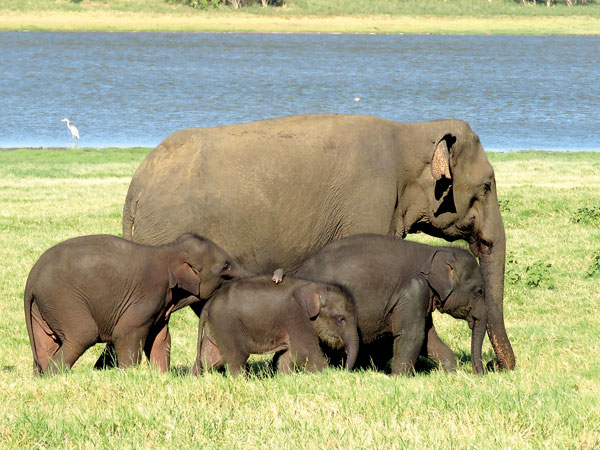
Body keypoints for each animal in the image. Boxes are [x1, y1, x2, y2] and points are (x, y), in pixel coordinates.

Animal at [24, 234, 247, 374]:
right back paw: (55, 375)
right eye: (225, 266)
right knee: (82, 334)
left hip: (44, 307)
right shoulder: (148, 296)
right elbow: (126, 332)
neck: (169, 250)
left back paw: (42, 377)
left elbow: (161, 338)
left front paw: (161, 376)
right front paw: (128, 375)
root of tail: (31, 279)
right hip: (63, 301)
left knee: (45, 344)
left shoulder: (160, 306)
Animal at [192, 274, 358, 376]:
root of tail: (208, 305)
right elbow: (305, 352)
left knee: (209, 357)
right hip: (227, 325)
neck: (316, 286)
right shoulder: (296, 316)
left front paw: (285, 377)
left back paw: (196, 377)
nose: (343, 370)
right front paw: (327, 375)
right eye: (341, 318)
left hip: (216, 328)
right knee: (236, 357)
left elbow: (288, 355)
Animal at [294, 234, 488, 374]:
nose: (479, 373)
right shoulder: (414, 290)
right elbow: (413, 335)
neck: (432, 251)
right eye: (479, 291)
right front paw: (400, 378)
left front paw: (452, 373)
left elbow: (428, 336)